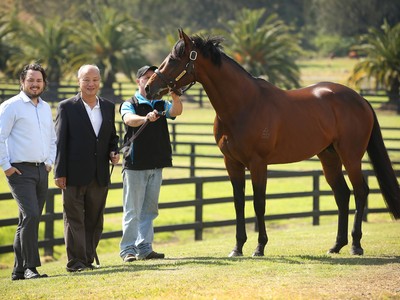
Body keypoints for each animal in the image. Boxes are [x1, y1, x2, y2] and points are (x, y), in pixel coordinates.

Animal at [145, 29, 400, 256]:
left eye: (174, 60)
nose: (149, 88)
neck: (244, 104)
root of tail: (360, 99)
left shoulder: (258, 164)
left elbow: (259, 203)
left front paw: (259, 247)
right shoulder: (232, 163)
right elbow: (239, 203)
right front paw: (237, 248)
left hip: (351, 156)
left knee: (360, 191)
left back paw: (356, 245)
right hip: (329, 157)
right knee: (343, 194)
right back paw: (336, 246)